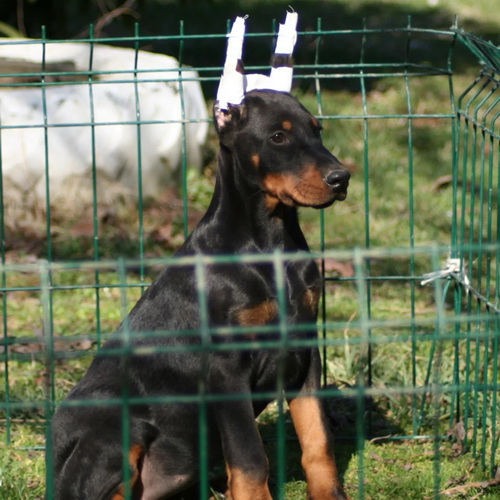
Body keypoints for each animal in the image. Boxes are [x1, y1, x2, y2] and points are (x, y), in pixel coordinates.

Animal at [48, 90, 350, 500]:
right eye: (278, 137)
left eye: (317, 130)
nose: (341, 177)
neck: (270, 240)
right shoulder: (226, 368)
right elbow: (250, 457)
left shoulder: (305, 351)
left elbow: (318, 439)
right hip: (116, 425)